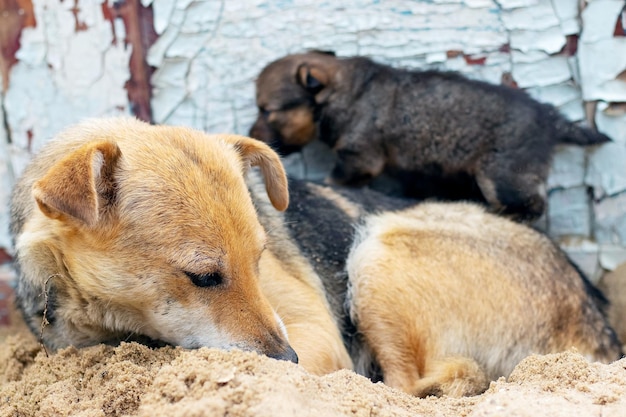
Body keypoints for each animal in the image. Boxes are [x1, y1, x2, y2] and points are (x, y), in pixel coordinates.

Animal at [9, 117, 620, 396]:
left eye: (260, 260)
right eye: (203, 276)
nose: (287, 359)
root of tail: (597, 323)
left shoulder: (318, 334)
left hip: (377, 253)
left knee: (407, 383)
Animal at [249, 51, 608, 221]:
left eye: (267, 110)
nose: (251, 133)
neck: (343, 91)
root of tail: (549, 117)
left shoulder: (359, 158)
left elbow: (336, 180)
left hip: (503, 175)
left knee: (533, 205)